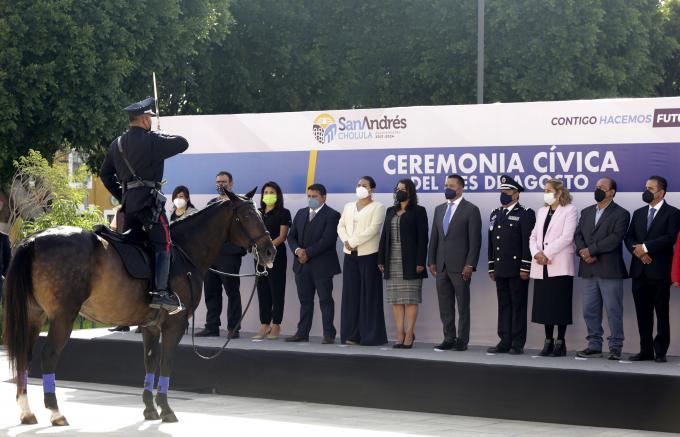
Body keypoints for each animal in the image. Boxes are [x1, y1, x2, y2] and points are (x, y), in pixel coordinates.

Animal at [2, 187, 274, 422]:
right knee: (48, 355)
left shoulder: (150, 327)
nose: (270, 251)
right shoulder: (174, 325)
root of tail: (34, 240)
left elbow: (150, 362)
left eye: (261, 214)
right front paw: (166, 409)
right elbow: (166, 363)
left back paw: (27, 411)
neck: (184, 252)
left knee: (25, 355)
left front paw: (150, 408)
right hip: (63, 317)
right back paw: (55, 412)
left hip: (34, 316)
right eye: (247, 216)